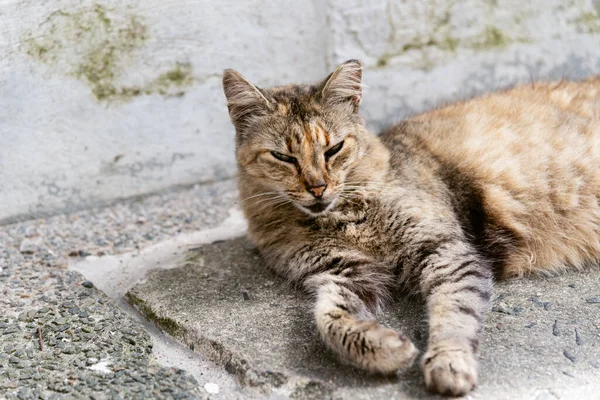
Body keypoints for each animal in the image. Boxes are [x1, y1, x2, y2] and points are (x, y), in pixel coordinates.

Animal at [221, 60, 600, 396]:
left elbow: (453, 312)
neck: (341, 218)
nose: (317, 188)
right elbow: (328, 318)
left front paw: (448, 363)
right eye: (283, 157)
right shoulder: (344, 273)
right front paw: (386, 348)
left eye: (334, 149)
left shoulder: (444, 249)